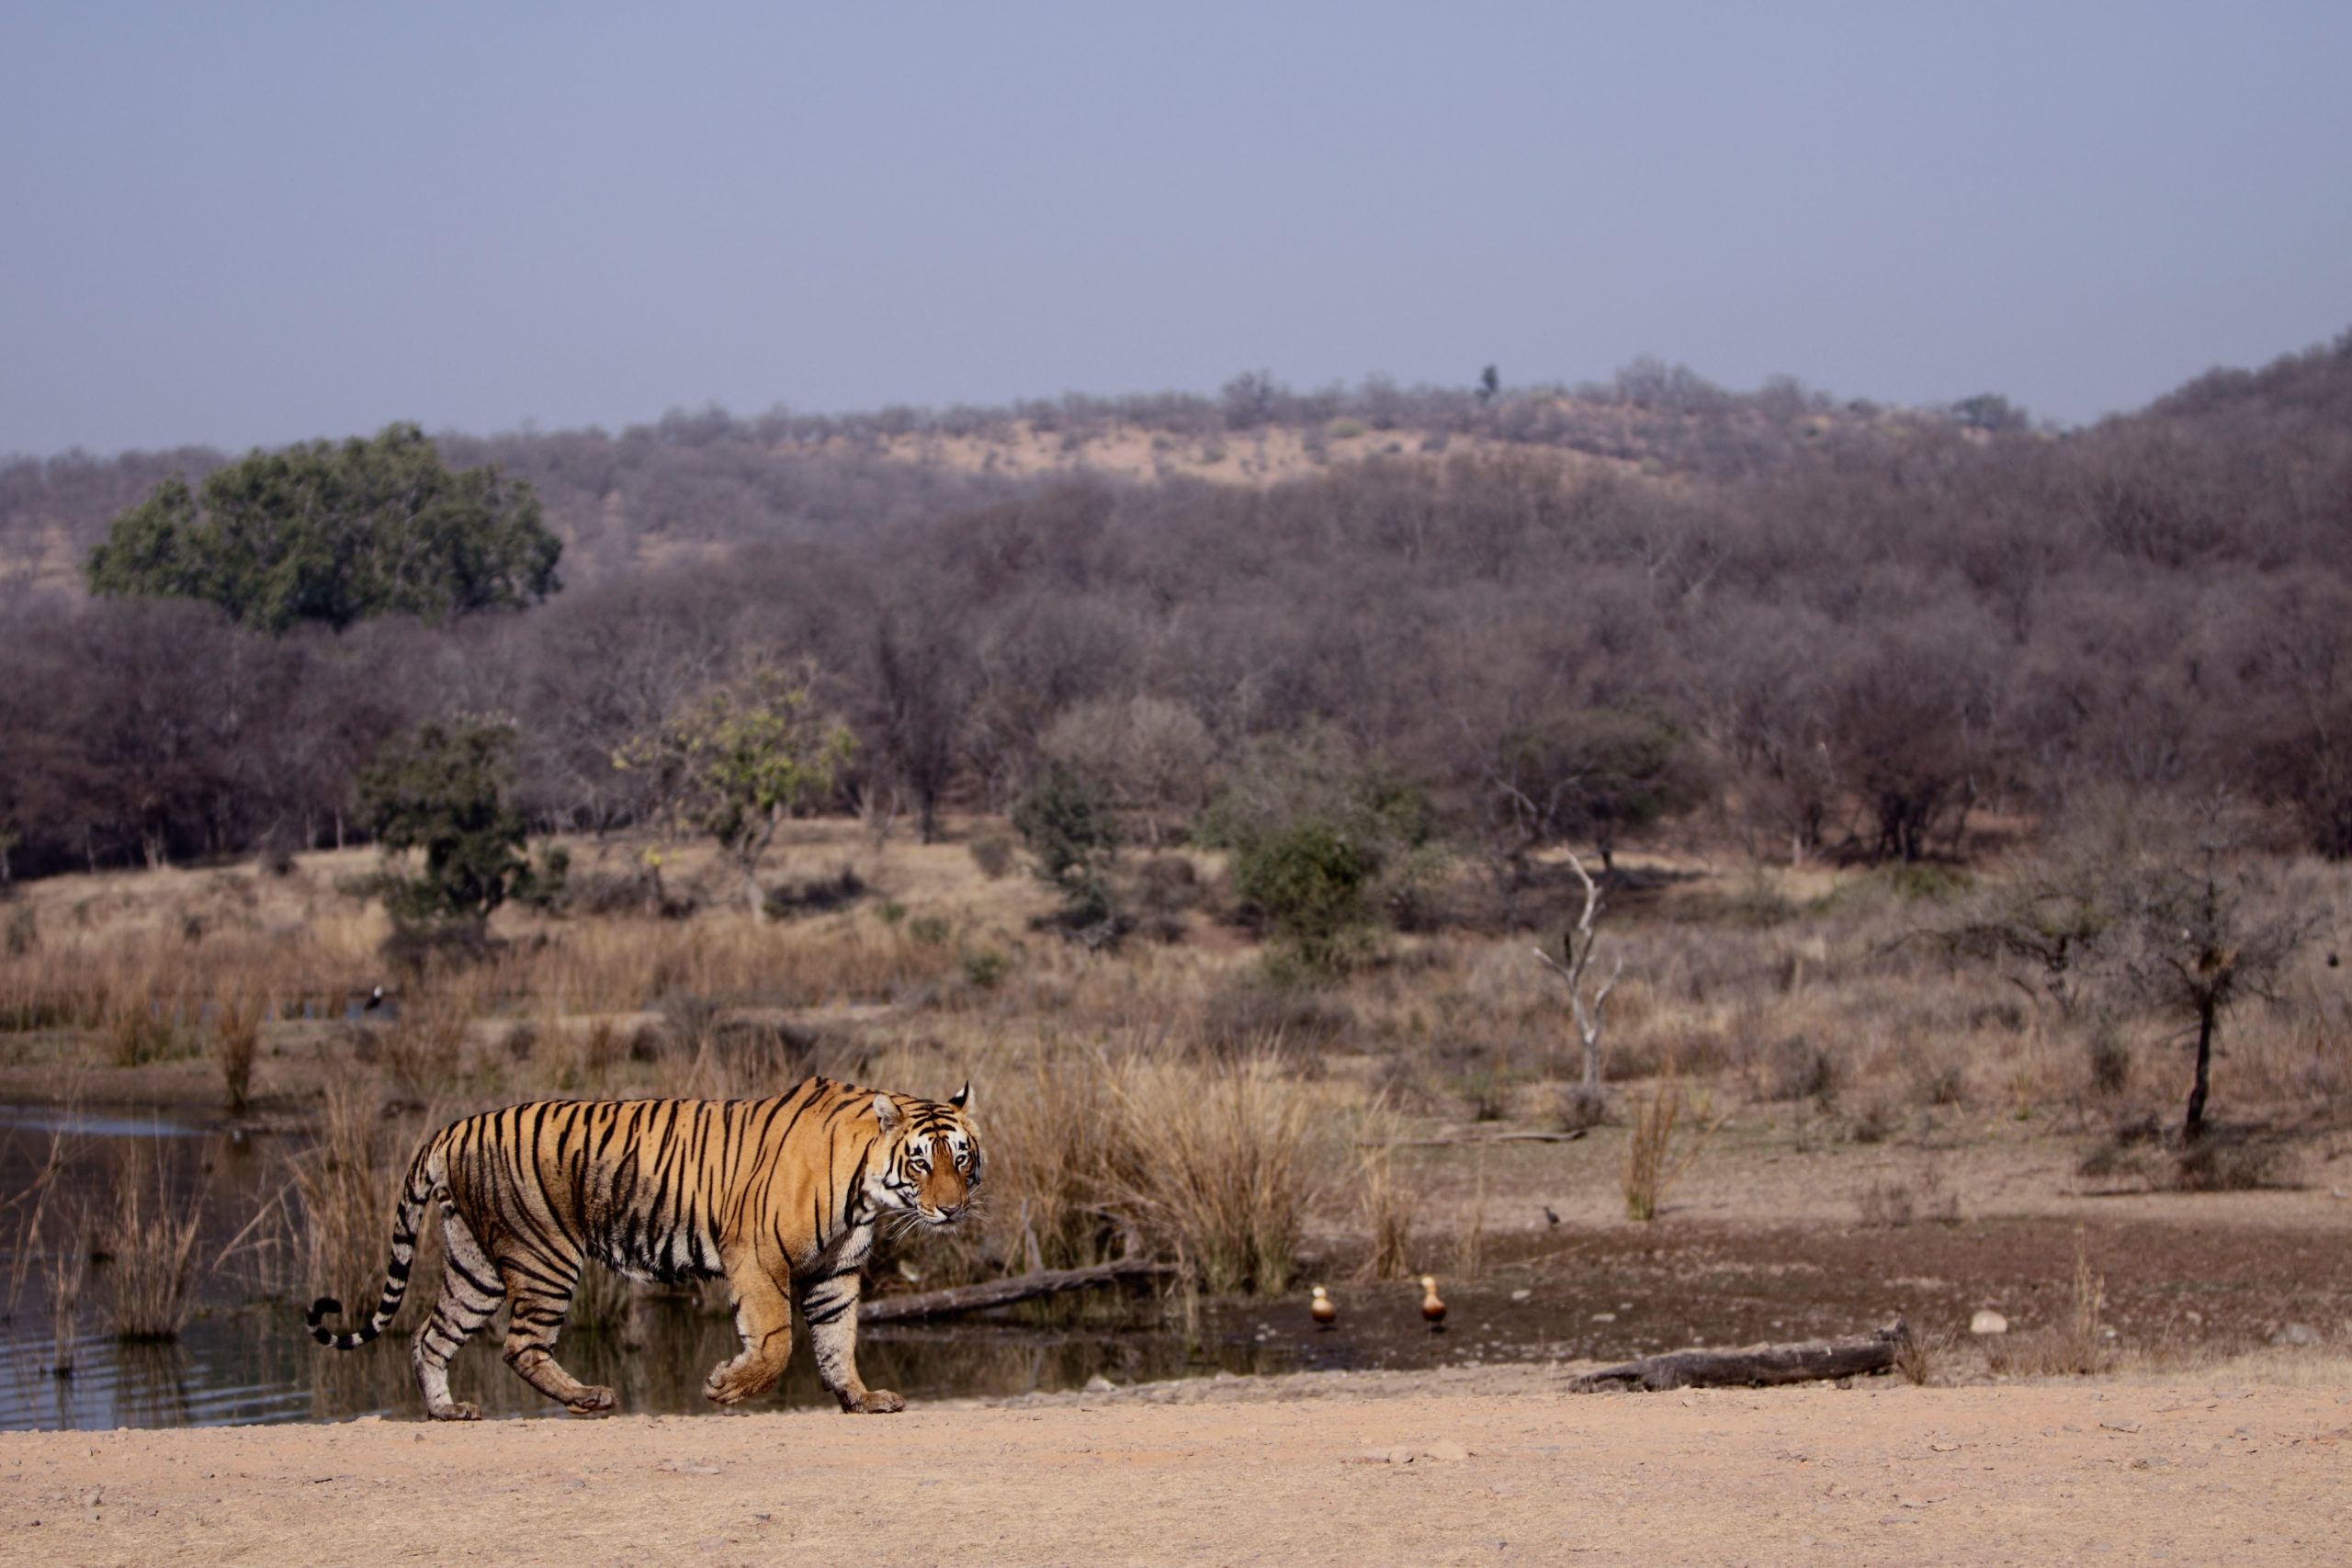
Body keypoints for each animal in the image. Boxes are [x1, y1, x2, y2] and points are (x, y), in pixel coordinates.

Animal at [306, 1077, 981, 1420]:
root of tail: (450, 1128)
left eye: (961, 1157)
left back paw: (448, 1410)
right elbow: (776, 1341)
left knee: (430, 1337)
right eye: (920, 1163)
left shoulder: (836, 1269)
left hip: (475, 1266)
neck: (867, 1190)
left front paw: (861, 1398)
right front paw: (725, 1387)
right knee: (519, 1345)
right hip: (543, 1255)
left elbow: (838, 1339)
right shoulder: (757, 1255)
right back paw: (589, 1397)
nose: (951, 1208)